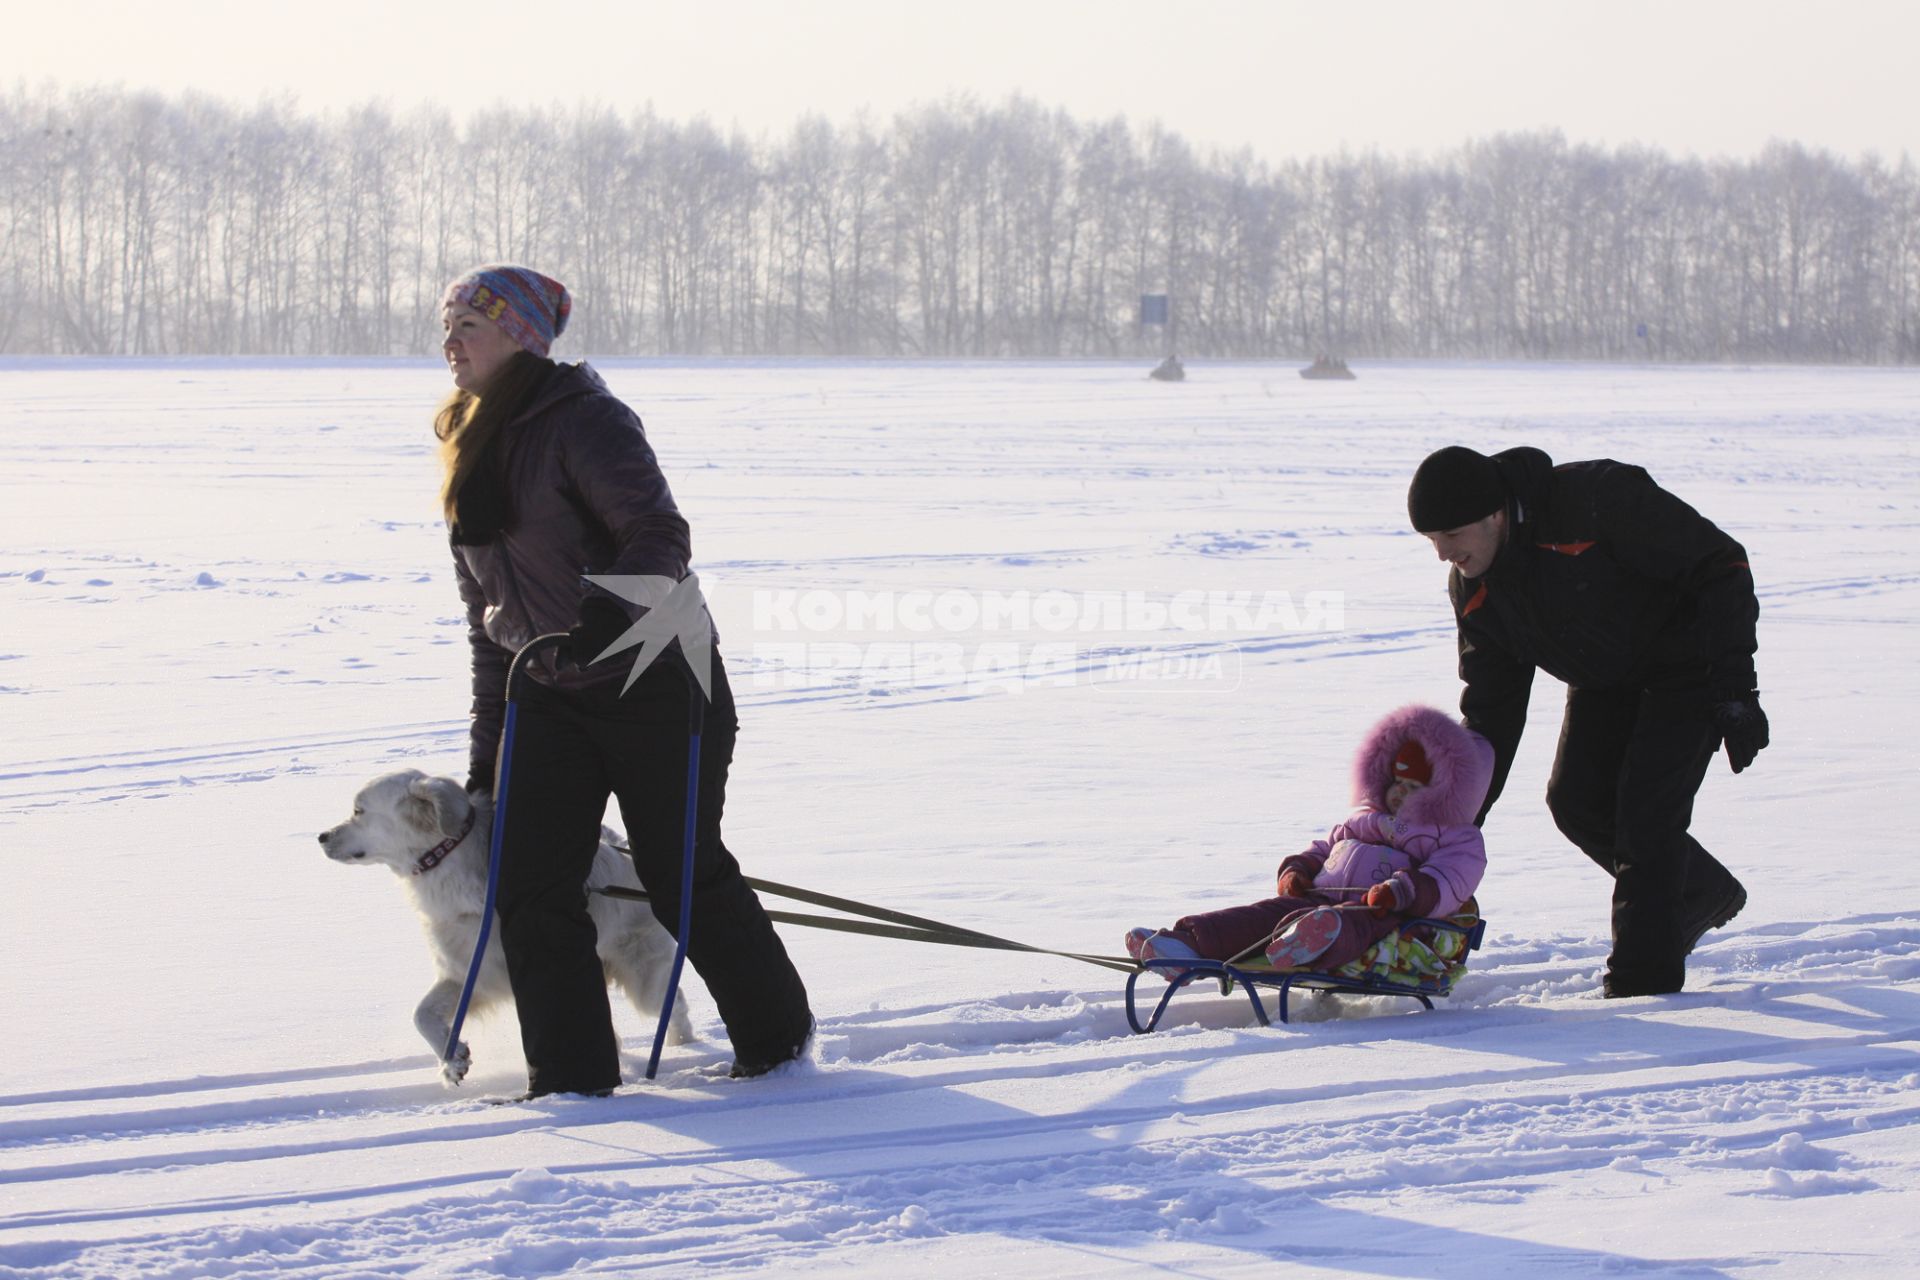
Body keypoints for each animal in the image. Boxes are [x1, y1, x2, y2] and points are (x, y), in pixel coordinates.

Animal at [318, 767, 695, 1090]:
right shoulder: (469, 970)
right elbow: (422, 1014)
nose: (321, 836)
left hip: (641, 974)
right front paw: (452, 1061)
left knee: (672, 1001)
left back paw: (681, 1044)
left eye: (359, 811)